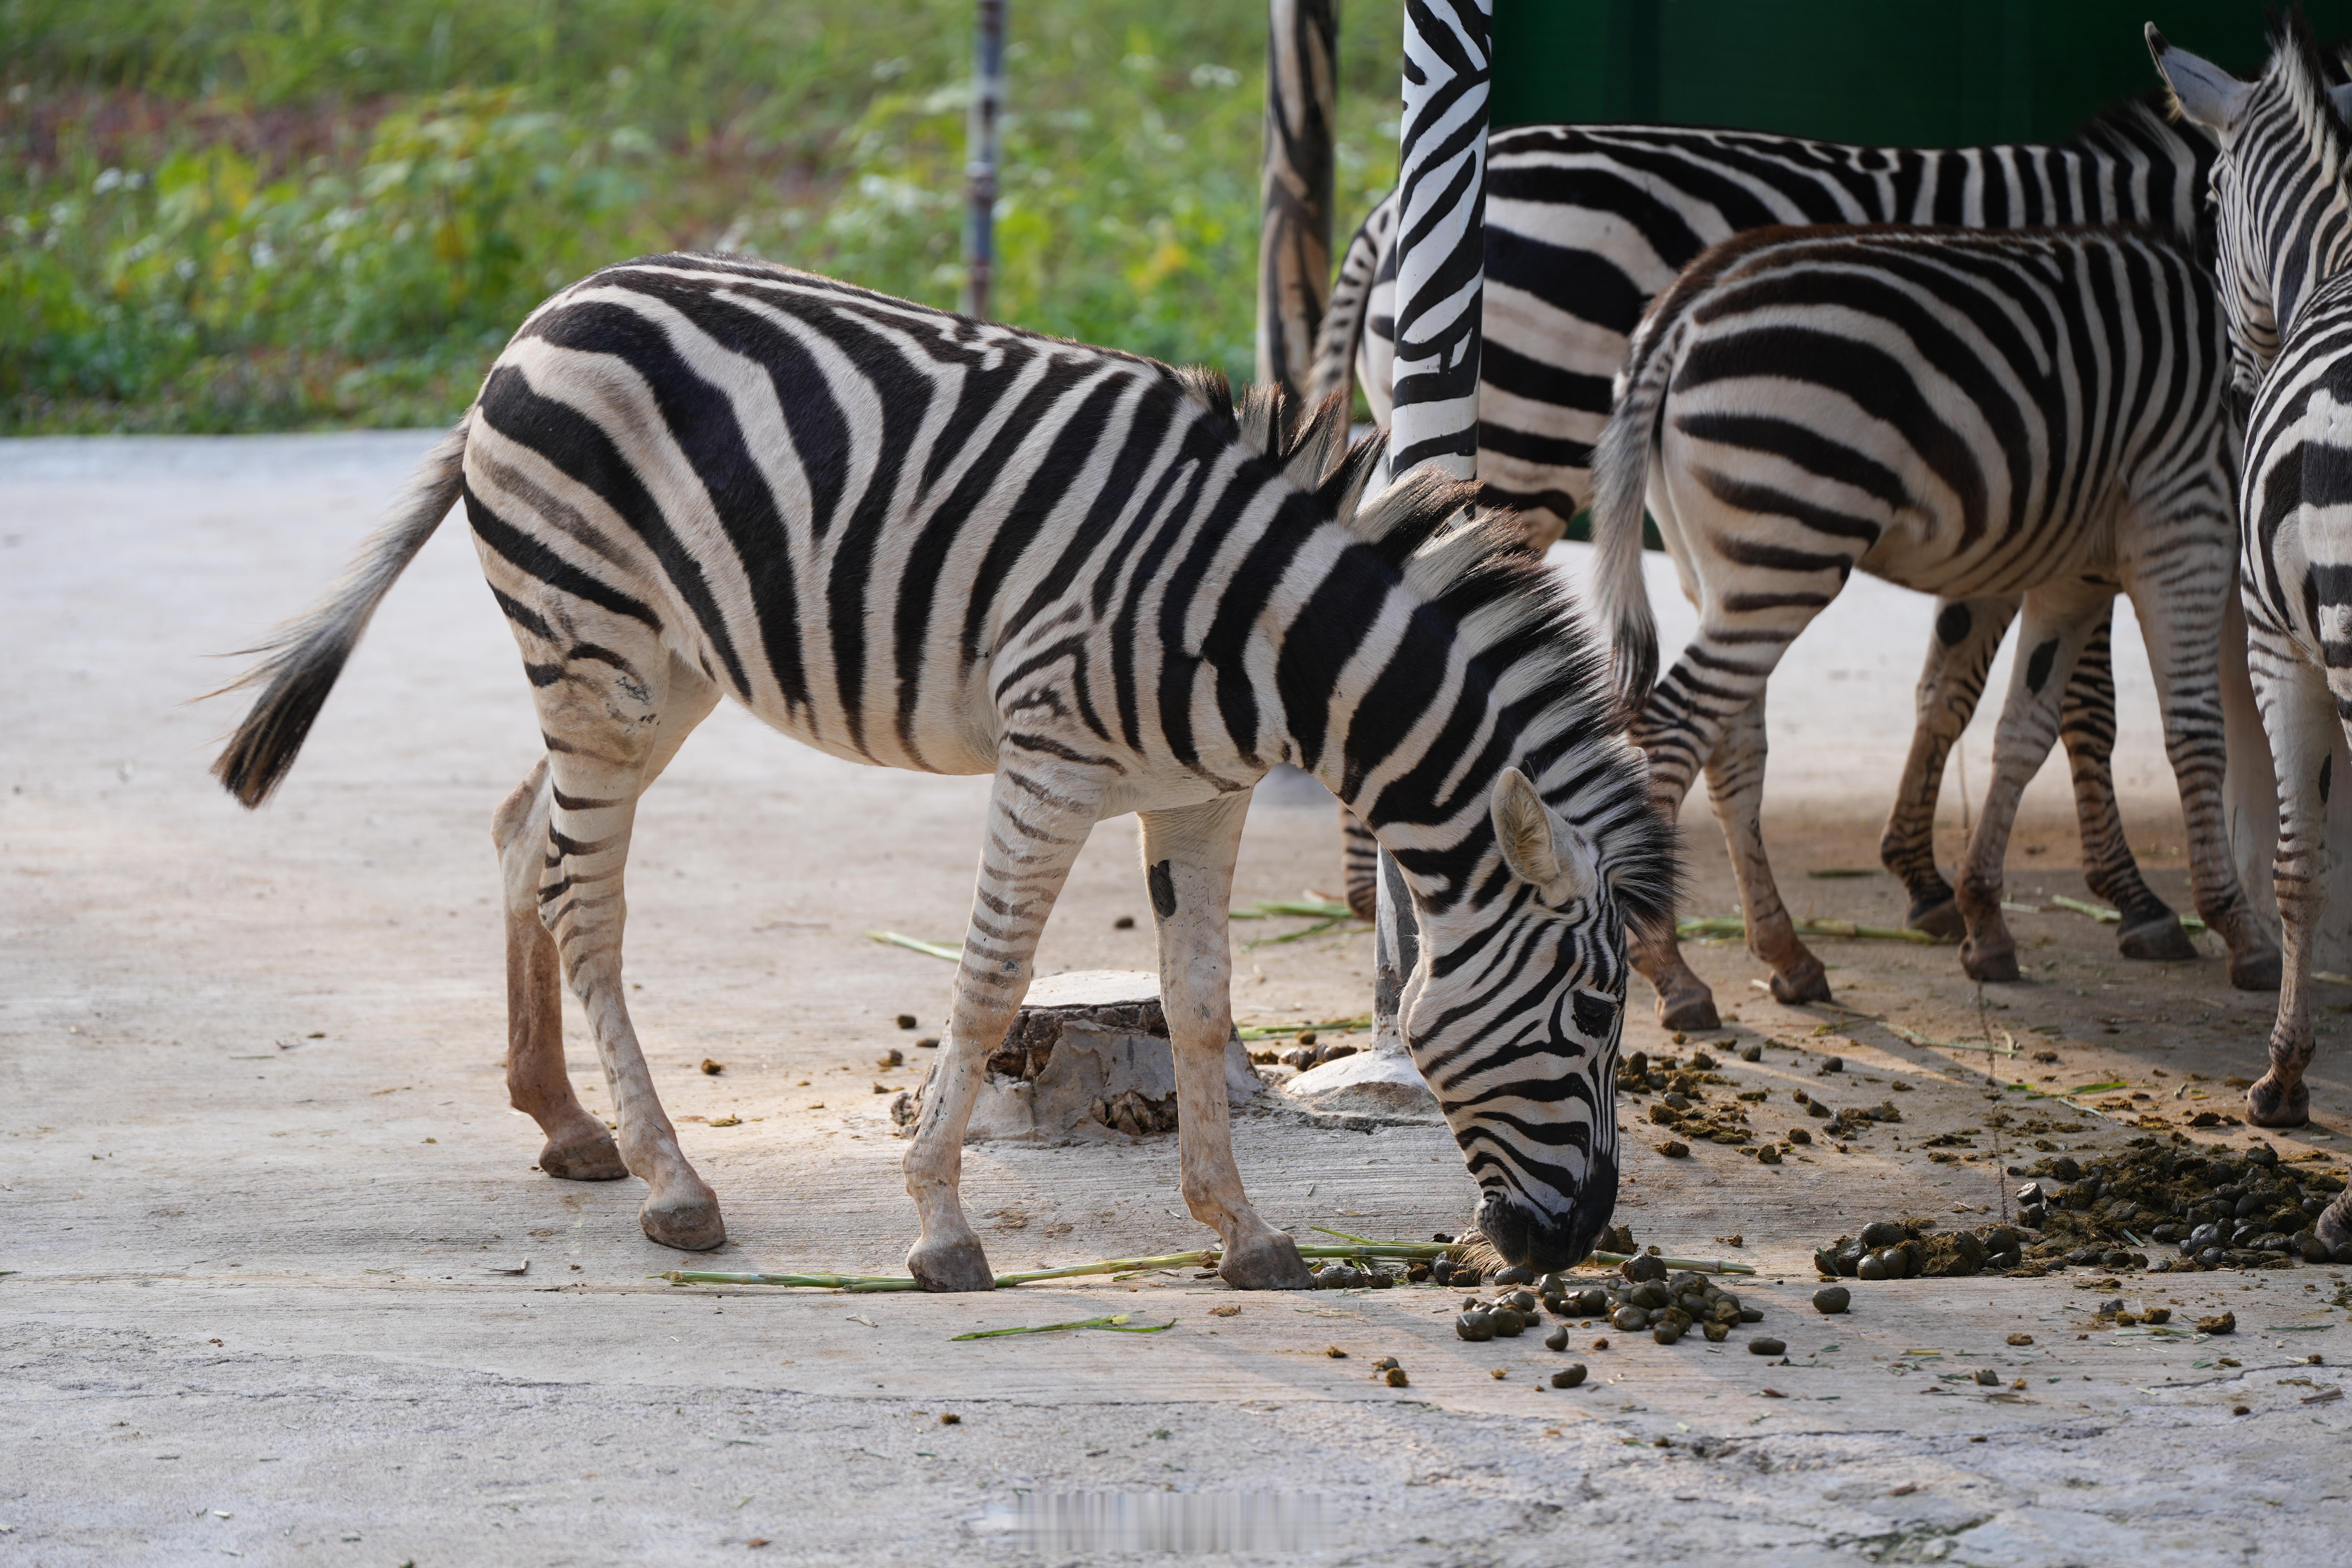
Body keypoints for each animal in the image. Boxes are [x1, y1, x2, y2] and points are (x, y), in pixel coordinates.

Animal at [202, 257, 1674, 1288]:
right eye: (1590, 1015)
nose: (1573, 1243)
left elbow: (1202, 1006)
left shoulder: (1206, 795)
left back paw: (566, 1126)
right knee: (582, 895)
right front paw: (941, 1229)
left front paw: (1242, 1232)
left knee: (525, 835)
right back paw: (674, 1187)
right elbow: (987, 984)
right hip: (595, 648)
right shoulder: (1049, 763)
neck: (1268, 634)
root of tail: (547, 311)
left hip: (660, 668)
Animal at [1326, 101, 2220, 959]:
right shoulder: (2073, 492)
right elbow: (2088, 707)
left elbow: (1949, 691)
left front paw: (1923, 875)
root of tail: (1388, 212)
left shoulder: (2016, 520)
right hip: (1529, 457)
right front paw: (2135, 899)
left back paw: (1376, 888)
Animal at [1580, 221, 2276, 1029]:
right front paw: (2239, 929)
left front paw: (1985, 920)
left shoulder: (2073, 571)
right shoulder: (2185, 518)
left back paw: (1787, 955)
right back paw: (1673, 969)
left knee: (1731, 749)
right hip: (1788, 544)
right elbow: (2194, 733)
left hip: (1724, 572)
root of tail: (1681, 310)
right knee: (1673, 724)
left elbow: (2023, 731)